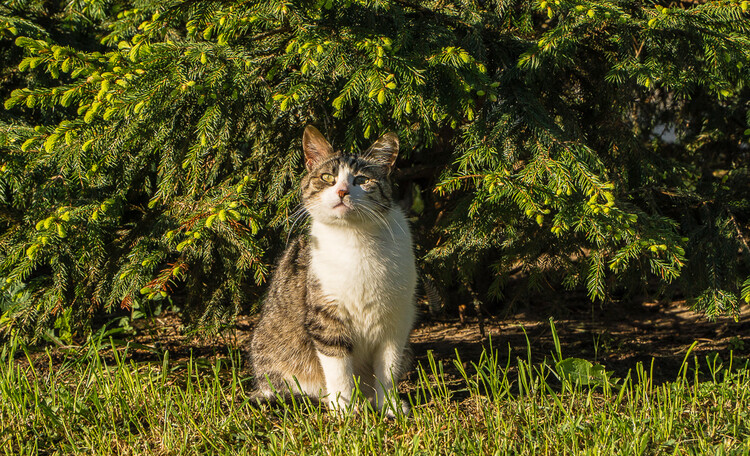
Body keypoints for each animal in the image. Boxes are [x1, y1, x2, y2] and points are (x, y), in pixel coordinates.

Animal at [251, 124, 418, 416]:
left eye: (361, 180)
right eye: (327, 177)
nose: (342, 192)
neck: (355, 239)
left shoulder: (396, 321)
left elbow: (388, 368)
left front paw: (389, 405)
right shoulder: (325, 313)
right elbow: (338, 366)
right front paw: (345, 409)